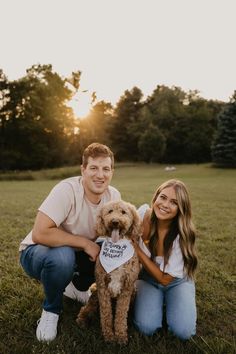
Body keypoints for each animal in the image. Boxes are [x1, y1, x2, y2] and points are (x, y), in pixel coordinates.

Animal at [76, 201, 141, 344]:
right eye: (110, 211)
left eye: (123, 212)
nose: (115, 221)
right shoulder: (102, 287)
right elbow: (106, 314)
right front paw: (109, 336)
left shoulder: (127, 289)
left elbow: (120, 315)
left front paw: (120, 336)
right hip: (95, 295)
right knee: (87, 308)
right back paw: (82, 319)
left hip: (133, 291)